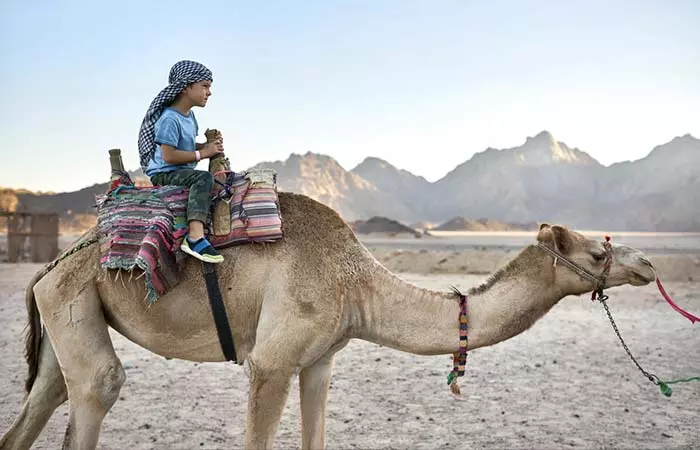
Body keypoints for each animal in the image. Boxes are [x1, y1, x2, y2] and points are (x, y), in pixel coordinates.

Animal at [0, 192, 656, 450]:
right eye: (597, 253)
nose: (648, 263)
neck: (355, 281)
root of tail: (50, 265)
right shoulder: (271, 362)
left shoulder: (319, 360)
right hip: (78, 299)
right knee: (99, 385)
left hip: (68, 312)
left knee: (44, 400)